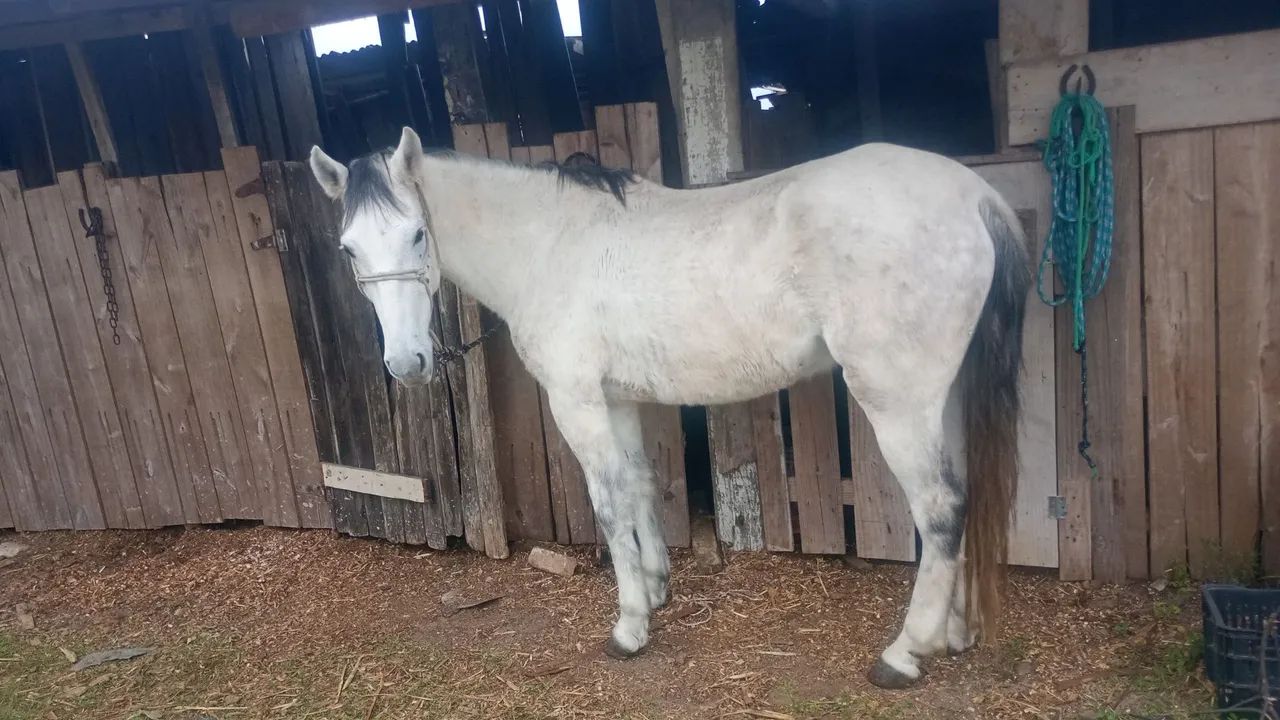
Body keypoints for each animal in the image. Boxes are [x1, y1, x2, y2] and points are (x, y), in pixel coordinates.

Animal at [308, 127, 1030, 688]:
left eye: (417, 235)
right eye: (348, 249)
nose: (408, 364)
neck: (549, 245)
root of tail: (975, 195)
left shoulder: (577, 402)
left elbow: (608, 504)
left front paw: (629, 627)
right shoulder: (616, 399)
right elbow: (639, 488)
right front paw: (656, 589)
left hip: (898, 403)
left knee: (940, 510)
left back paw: (906, 654)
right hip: (941, 400)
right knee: (961, 502)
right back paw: (953, 633)